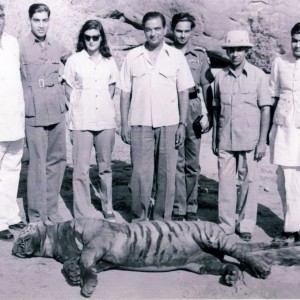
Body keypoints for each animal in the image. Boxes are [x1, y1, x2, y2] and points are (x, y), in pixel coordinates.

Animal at [12, 218, 272, 298]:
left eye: (23, 233)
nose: (14, 248)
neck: (55, 241)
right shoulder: (103, 260)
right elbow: (72, 264)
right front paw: (75, 274)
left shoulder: (98, 241)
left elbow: (84, 261)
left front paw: (87, 285)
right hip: (203, 264)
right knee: (227, 264)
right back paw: (231, 277)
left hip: (211, 237)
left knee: (243, 253)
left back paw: (261, 268)